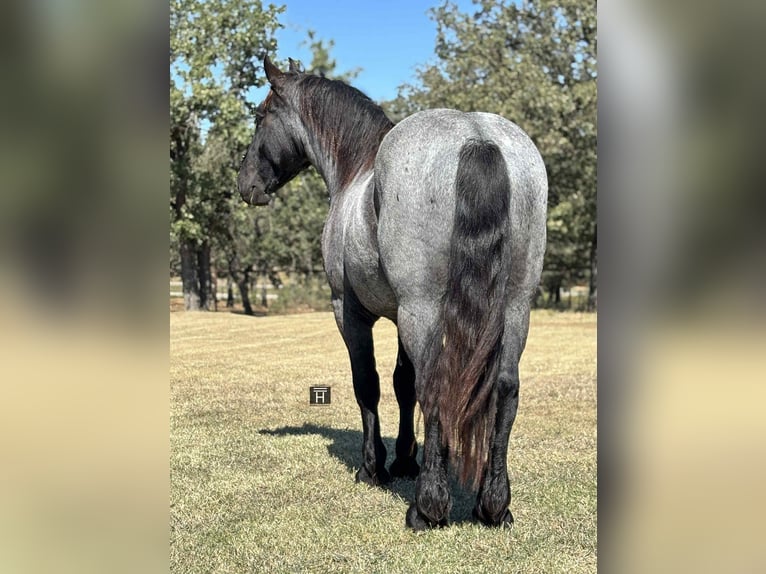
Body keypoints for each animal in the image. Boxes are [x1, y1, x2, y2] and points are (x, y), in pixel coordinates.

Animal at [237, 56, 547, 530]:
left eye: (260, 115)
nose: (246, 183)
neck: (357, 172)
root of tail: (476, 137)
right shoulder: (402, 316)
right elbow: (404, 383)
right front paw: (405, 460)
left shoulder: (351, 312)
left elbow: (369, 382)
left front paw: (374, 467)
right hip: (513, 309)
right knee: (505, 389)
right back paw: (494, 506)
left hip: (425, 308)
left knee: (435, 384)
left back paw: (427, 507)